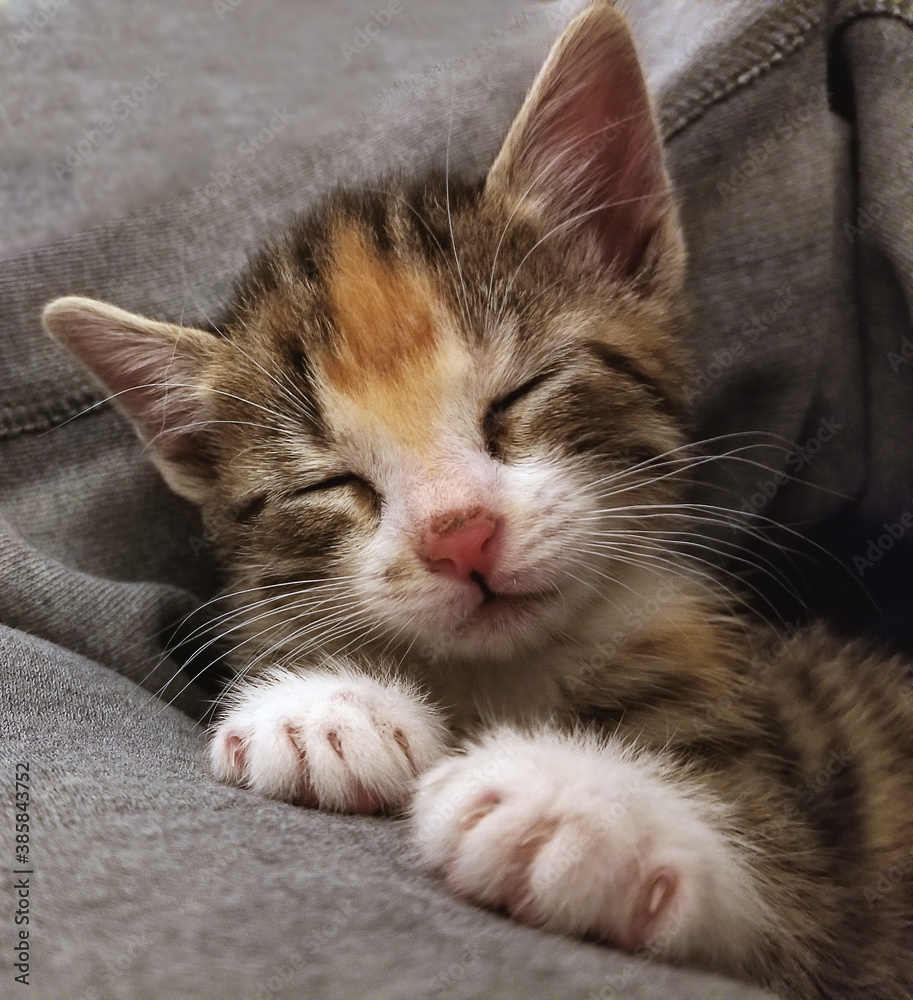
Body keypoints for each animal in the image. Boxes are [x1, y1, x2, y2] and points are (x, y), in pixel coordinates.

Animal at [39, 3, 908, 996]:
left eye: (517, 397)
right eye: (331, 482)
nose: (461, 537)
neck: (507, 676)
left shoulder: (824, 850)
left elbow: (784, 875)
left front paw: (578, 803)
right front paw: (320, 706)